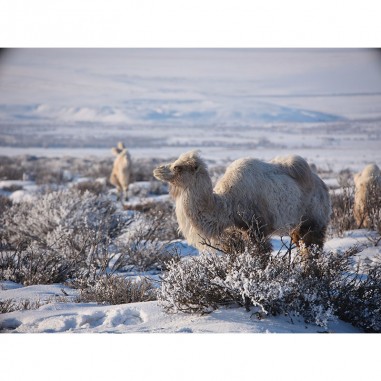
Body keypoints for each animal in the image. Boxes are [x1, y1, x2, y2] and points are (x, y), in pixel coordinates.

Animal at [151, 150, 330, 251]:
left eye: (178, 167)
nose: (157, 170)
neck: (227, 206)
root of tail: (323, 186)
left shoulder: (256, 229)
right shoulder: (232, 237)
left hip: (313, 221)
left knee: (311, 249)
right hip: (296, 228)